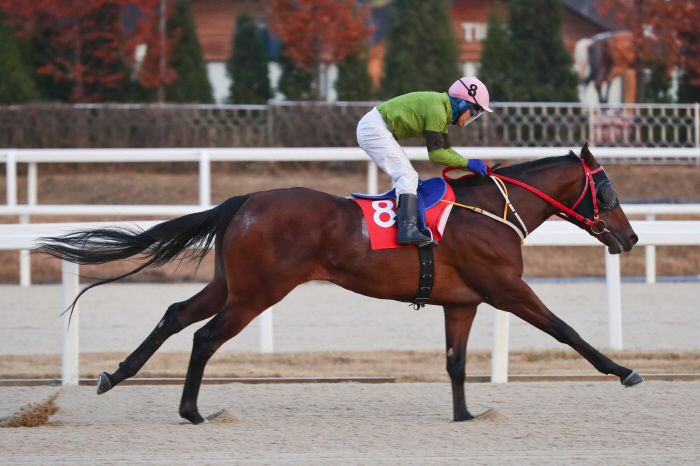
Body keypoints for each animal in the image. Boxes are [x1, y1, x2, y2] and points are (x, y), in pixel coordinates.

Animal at [35, 144, 644, 424]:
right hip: (258, 293)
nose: (631, 237)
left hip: (232, 285)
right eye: (608, 190)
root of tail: (244, 202)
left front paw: (465, 413)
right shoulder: (506, 289)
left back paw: (114, 375)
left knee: (175, 314)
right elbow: (566, 330)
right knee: (204, 337)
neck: (491, 211)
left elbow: (455, 362)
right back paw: (191, 411)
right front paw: (624, 371)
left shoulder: (461, 302)